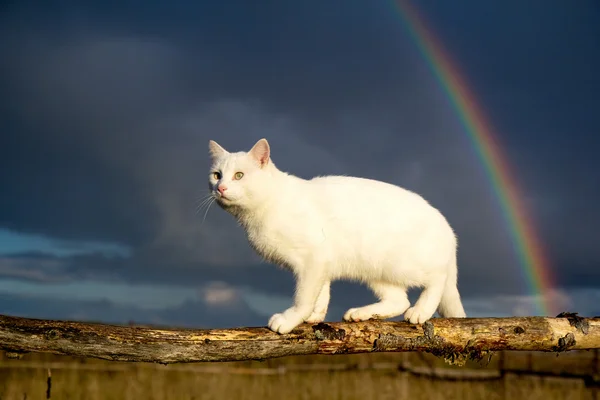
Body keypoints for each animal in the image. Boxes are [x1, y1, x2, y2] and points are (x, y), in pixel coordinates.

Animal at [209, 138, 466, 334]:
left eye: (239, 175)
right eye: (216, 175)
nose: (220, 188)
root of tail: (447, 227)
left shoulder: (312, 259)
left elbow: (303, 297)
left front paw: (290, 319)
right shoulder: (321, 263)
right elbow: (320, 293)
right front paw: (314, 315)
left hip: (404, 265)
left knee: (437, 278)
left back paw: (421, 311)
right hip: (375, 270)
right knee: (399, 300)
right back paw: (362, 314)